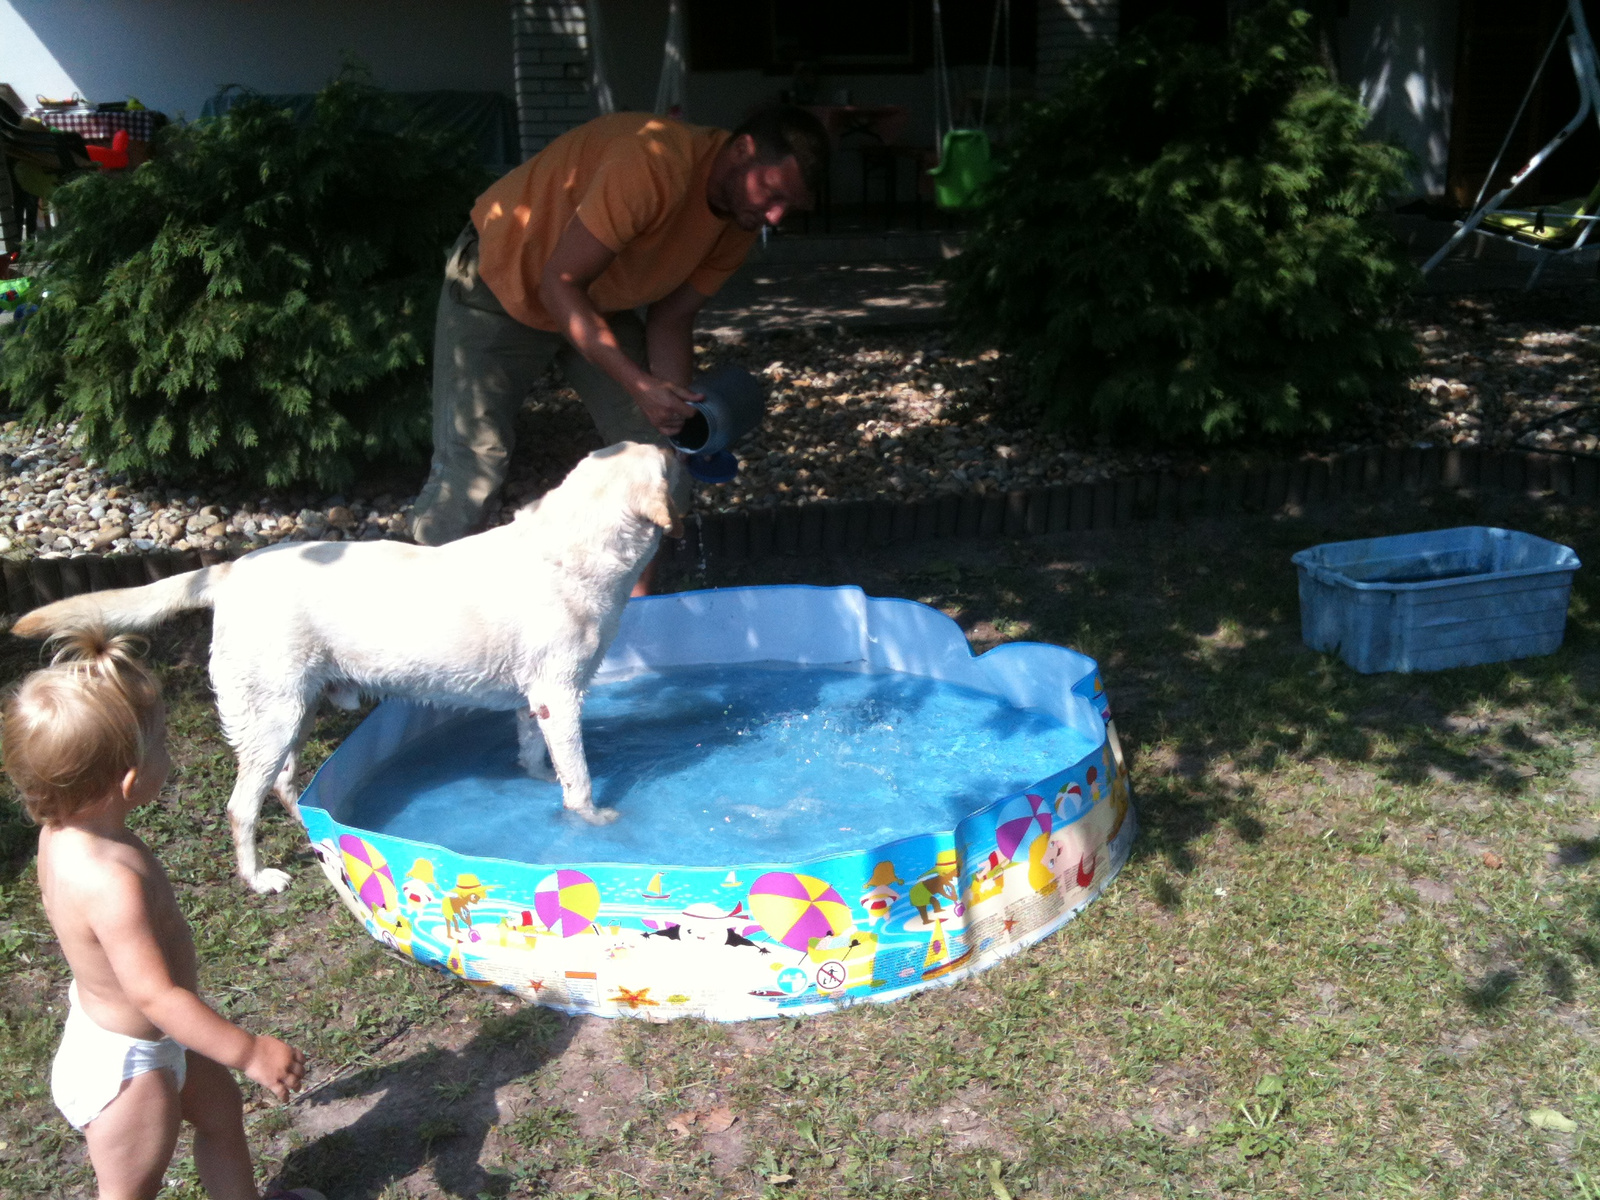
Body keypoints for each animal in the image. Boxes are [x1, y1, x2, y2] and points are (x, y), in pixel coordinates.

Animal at [12, 441, 688, 896]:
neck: (573, 547)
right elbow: (580, 779)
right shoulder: (560, 695)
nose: (688, 435)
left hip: (297, 709)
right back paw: (259, 877)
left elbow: (536, 754)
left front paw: (539, 782)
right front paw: (593, 822)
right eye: (670, 457)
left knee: (283, 784)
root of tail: (229, 569)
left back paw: (315, 830)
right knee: (241, 805)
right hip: (275, 713)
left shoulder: (535, 699)